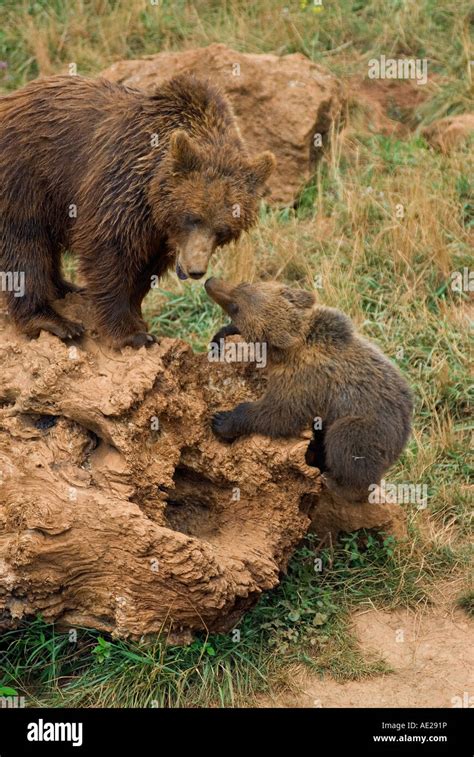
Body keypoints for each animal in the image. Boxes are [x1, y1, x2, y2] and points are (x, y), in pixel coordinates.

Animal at [0, 74, 274, 346]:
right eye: (193, 218)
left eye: (222, 231)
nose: (195, 270)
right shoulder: (123, 186)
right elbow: (110, 250)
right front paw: (131, 333)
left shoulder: (157, 232)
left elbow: (145, 269)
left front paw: (138, 318)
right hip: (26, 175)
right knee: (25, 244)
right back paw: (54, 321)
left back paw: (65, 287)